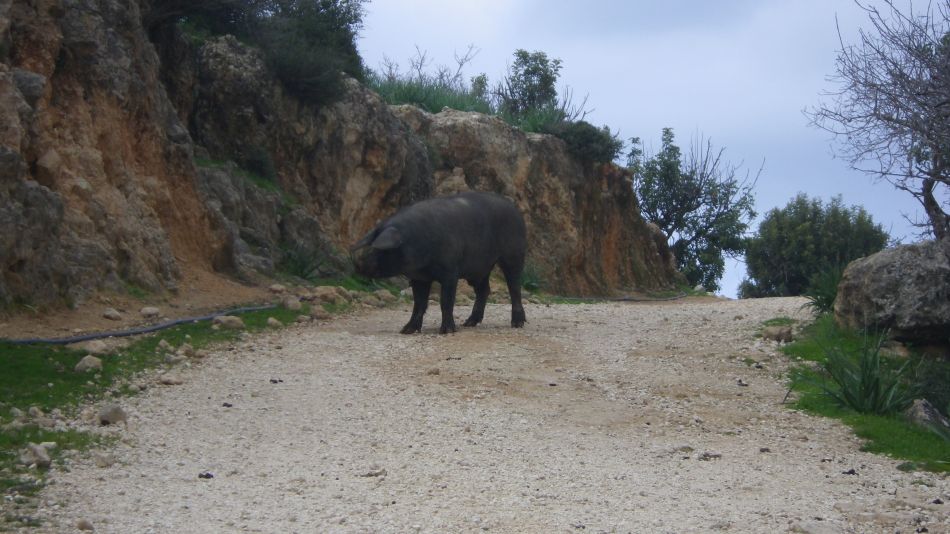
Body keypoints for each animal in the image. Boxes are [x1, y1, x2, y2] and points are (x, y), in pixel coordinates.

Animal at [350, 191, 527, 334]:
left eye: (381, 249)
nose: (358, 264)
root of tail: (514, 209)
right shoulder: (419, 278)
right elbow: (419, 303)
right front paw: (406, 331)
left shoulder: (450, 272)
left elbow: (446, 301)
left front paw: (447, 331)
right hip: (479, 268)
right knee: (484, 290)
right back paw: (469, 323)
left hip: (513, 254)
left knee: (514, 287)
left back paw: (517, 324)